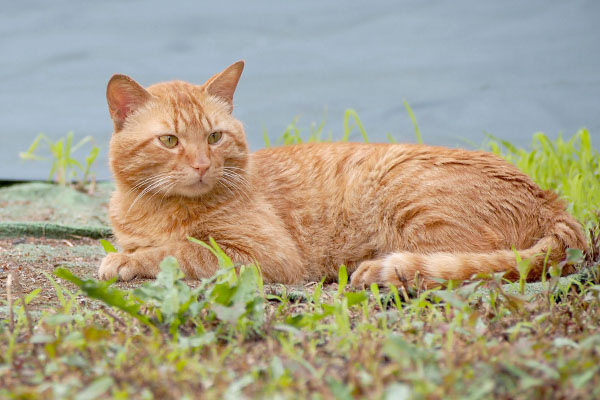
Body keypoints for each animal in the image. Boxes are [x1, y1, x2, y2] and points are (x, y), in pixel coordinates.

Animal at [98, 61, 584, 290]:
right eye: (170, 141)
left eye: (215, 137)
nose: (202, 164)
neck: (154, 209)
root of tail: (551, 200)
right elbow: (166, 246)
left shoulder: (268, 257)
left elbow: (181, 250)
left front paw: (128, 260)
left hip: (409, 203)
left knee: (459, 263)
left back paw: (383, 270)